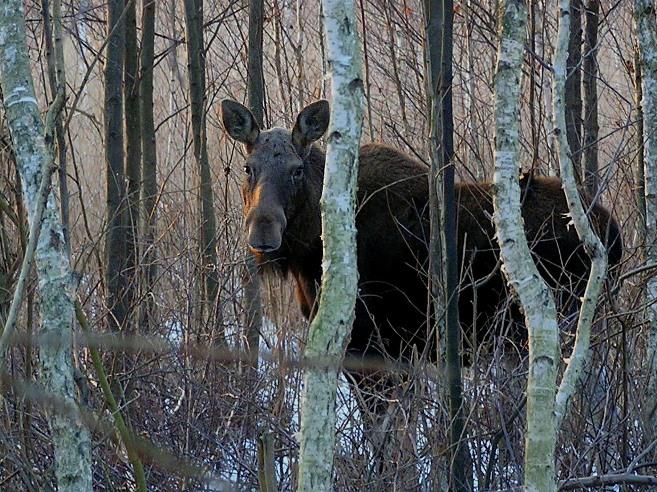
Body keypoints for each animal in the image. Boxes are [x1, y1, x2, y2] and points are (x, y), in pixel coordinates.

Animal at [219, 98, 620, 414]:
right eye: (248, 168)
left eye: (297, 170)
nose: (263, 232)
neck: (309, 256)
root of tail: (613, 232)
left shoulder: (377, 347)